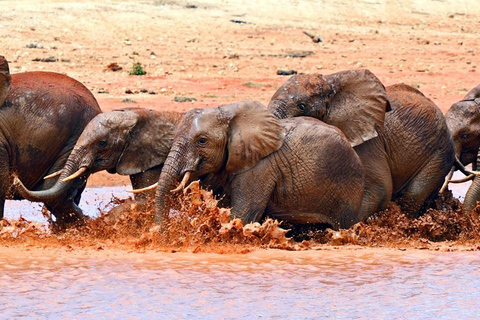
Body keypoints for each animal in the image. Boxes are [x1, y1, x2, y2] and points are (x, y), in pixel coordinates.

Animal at [154, 101, 364, 229]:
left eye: (202, 141)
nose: (162, 233)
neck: (229, 113)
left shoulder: (259, 169)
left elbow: (242, 215)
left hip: (347, 186)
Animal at [268, 69, 456, 219]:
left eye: (301, 106)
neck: (331, 83)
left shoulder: (369, 142)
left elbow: (381, 190)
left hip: (440, 152)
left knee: (413, 195)